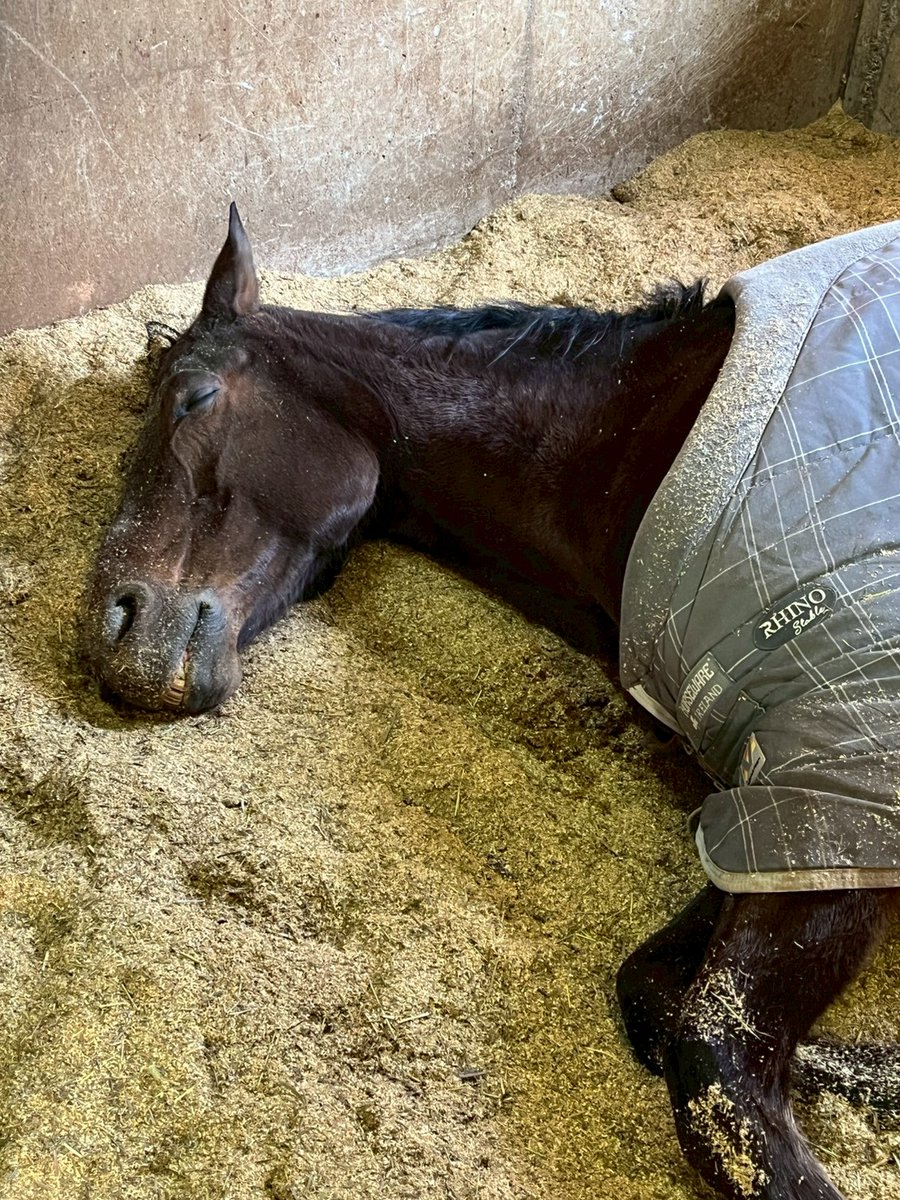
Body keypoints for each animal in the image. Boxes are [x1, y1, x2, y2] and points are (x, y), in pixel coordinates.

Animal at [82, 205, 900, 1200]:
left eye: (195, 399)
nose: (112, 633)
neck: (634, 448)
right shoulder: (779, 806)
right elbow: (657, 996)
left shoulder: (839, 779)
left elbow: (718, 1073)